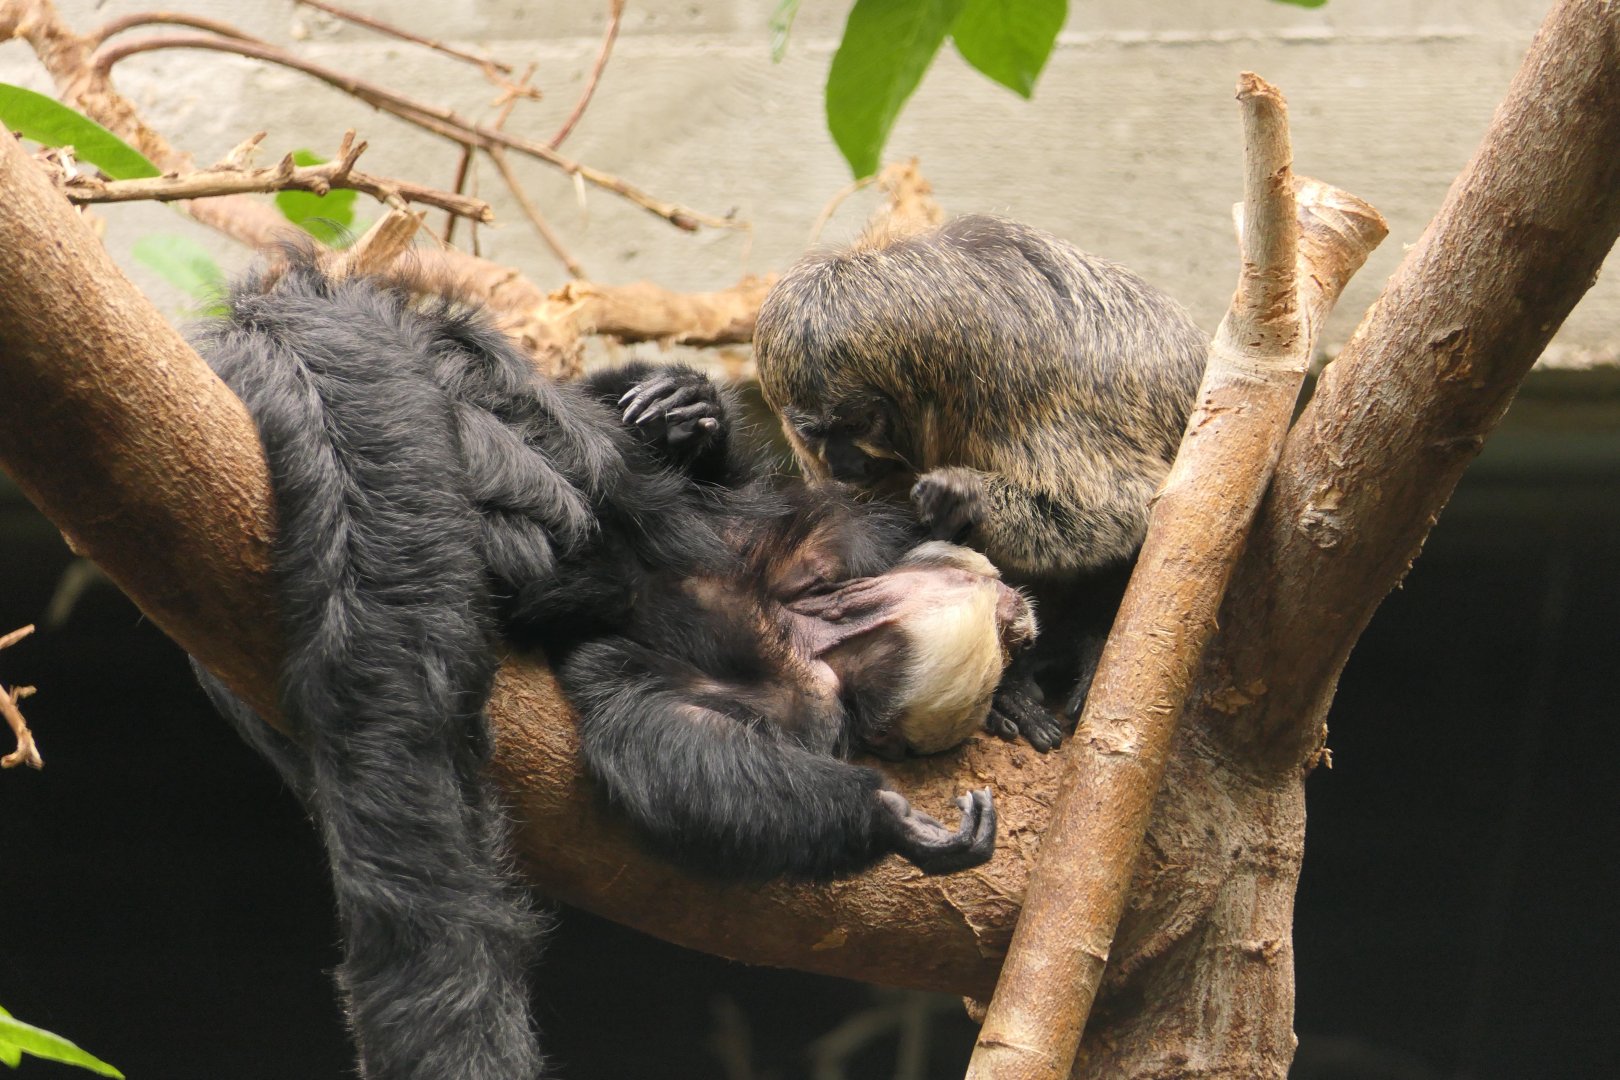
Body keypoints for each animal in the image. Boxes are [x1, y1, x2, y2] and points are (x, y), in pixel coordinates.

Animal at [188, 250, 1035, 1079]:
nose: (1013, 622)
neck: (804, 628)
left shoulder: (794, 699)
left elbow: (651, 742)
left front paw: (892, 818)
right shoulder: (832, 537)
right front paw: (687, 408)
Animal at [753, 213, 1209, 749]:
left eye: (856, 424)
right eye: (816, 434)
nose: (843, 462)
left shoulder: (1012, 387)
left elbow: (1116, 513)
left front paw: (965, 499)